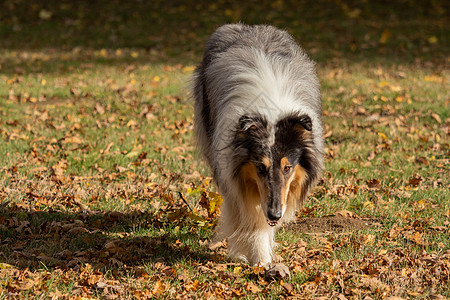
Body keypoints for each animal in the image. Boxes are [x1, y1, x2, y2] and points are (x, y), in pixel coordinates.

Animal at [192, 24, 324, 266]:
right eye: (260, 167)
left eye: (287, 168)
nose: (275, 215)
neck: (271, 110)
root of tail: (246, 26)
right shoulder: (235, 178)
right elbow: (250, 220)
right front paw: (259, 260)